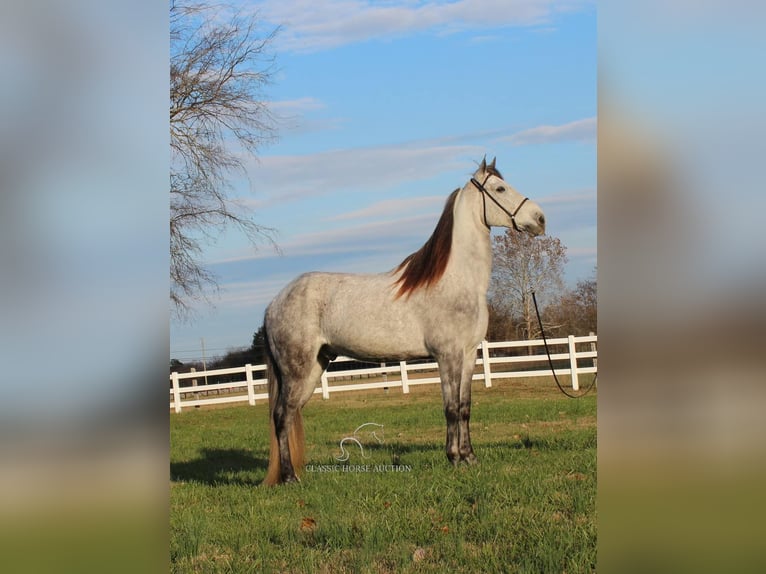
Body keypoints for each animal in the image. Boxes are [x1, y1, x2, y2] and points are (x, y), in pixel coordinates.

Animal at [262, 159, 544, 486]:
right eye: (500, 189)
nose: (540, 219)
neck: (457, 281)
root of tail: (274, 303)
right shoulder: (447, 355)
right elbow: (450, 408)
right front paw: (454, 458)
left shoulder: (469, 354)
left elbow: (465, 408)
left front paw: (470, 457)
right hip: (297, 370)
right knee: (281, 416)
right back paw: (289, 477)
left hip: (314, 369)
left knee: (290, 414)